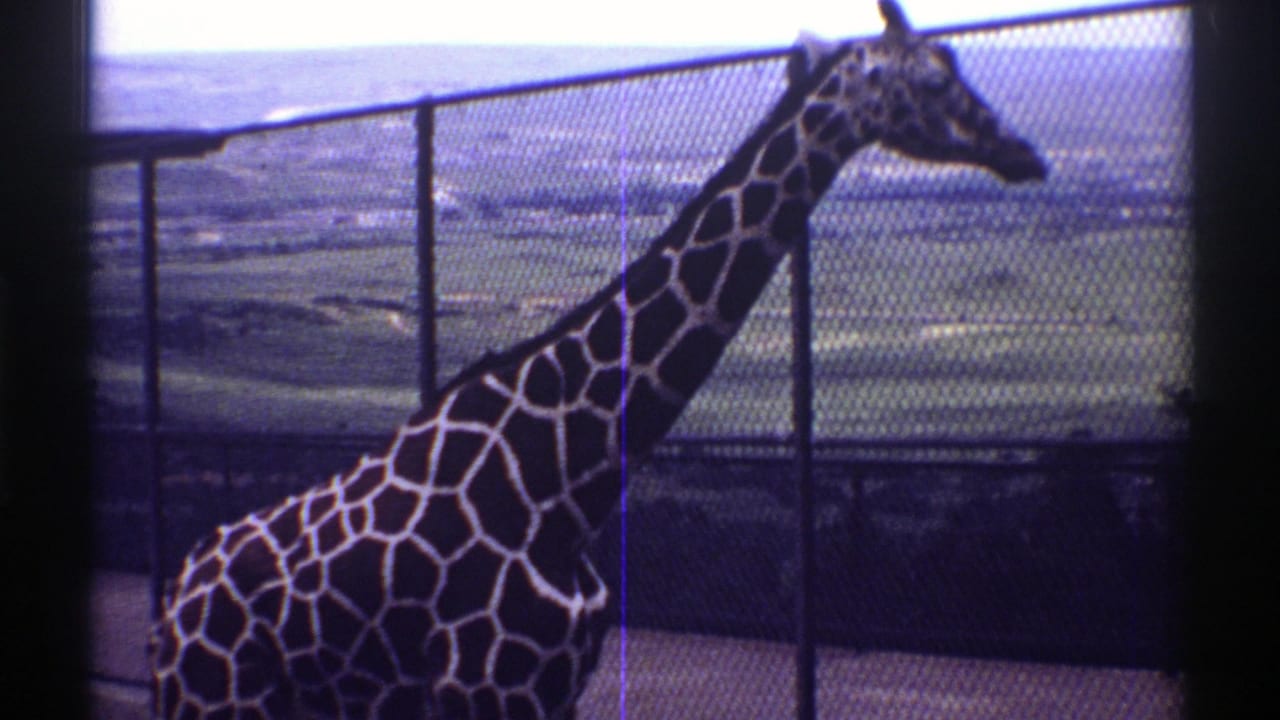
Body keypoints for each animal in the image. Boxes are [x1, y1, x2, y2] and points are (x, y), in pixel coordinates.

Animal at [150, 2, 1046, 718]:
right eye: (933, 80)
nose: (1027, 154)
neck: (563, 480)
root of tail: (174, 600)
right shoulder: (487, 689)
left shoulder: (555, 687)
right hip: (214, 698)